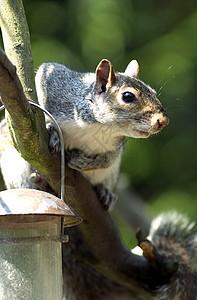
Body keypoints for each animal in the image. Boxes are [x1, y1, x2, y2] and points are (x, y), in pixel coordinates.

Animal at [34, 58, 169, 209]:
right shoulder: (55, 86)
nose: (164, 121)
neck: (100, 126)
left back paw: (106, 193)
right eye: (128, 96)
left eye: (154, 93)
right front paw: (51, 131)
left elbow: (108, 159)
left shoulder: (117, 144)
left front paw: (82, 162)